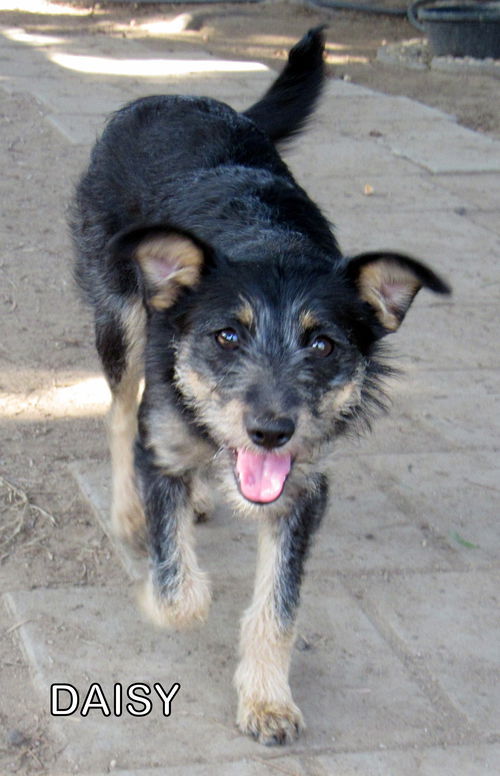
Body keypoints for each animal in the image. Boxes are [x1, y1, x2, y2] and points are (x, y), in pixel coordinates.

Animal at [70, 28, 450, 744]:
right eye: (226, 337)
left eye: (322, 344)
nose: (271, 430)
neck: (268, 243)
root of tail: (175, 96)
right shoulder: (164, 441)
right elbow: (179, 595)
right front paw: (162, 576)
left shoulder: (304, 488)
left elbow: (279, 605)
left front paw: (268, 699)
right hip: (118, 318)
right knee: (117, 412)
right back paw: (132, 512)